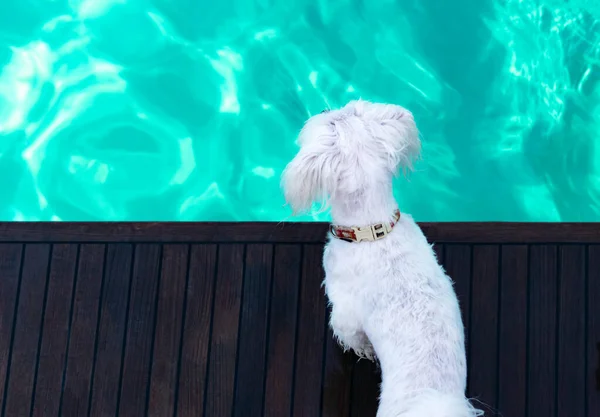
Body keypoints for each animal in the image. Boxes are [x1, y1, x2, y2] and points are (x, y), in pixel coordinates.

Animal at [282, 101, 482, 416]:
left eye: (332, 120)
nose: (325, 108)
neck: (372, 231)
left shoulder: (344, 313)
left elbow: (350, 334)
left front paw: (364, 350)